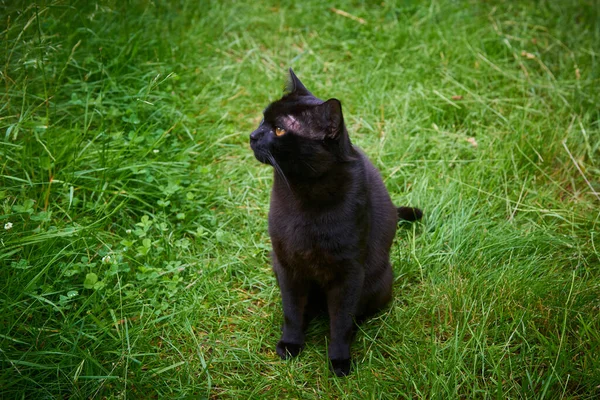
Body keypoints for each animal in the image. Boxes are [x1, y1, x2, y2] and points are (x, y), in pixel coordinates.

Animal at [250, 69, 422, 378]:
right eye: (263, 119)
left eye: (279, 130)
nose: (252, 135)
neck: (304, 191)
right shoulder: (287, 263)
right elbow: (291, 310)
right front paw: (291, 345)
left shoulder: (349, 272)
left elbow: (340, 322)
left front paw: (340, 361)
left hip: (378, 281)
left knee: (354, 315)